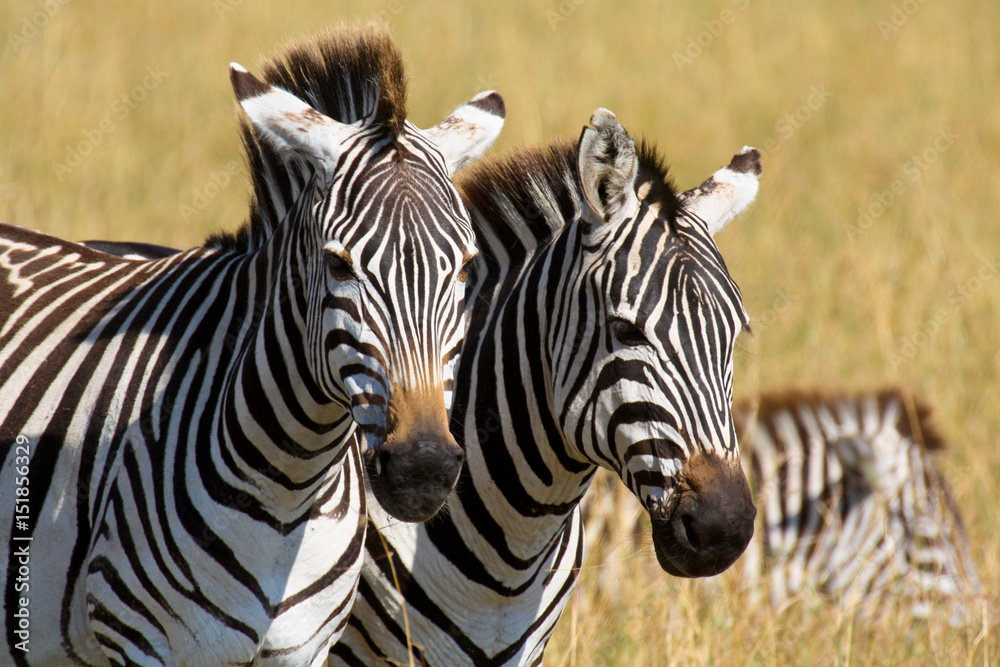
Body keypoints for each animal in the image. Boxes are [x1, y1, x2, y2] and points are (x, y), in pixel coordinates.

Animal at [0, 26, 505, 666]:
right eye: (338, 265)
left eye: (465, 268)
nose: (423, 469)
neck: (292, 486)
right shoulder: (141, 643)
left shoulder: (306, 648)